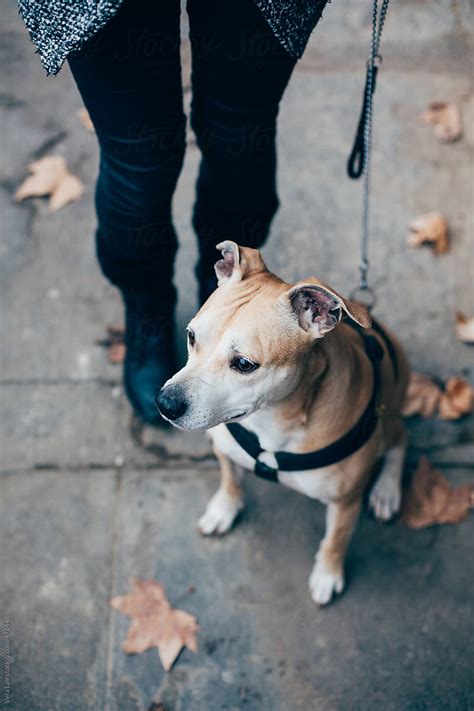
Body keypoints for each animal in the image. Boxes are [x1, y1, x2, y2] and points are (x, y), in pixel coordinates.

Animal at [157, 243, 410, 608]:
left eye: (244, 364)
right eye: (191, 336)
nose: (165, 403)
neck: (273, 421)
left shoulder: (345, 502)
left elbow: (335, 541)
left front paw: (327, 575)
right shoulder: (225, 448)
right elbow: (230, 480)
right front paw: (224, 509)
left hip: (389, 417)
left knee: (401, 439)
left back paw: (387, 490)